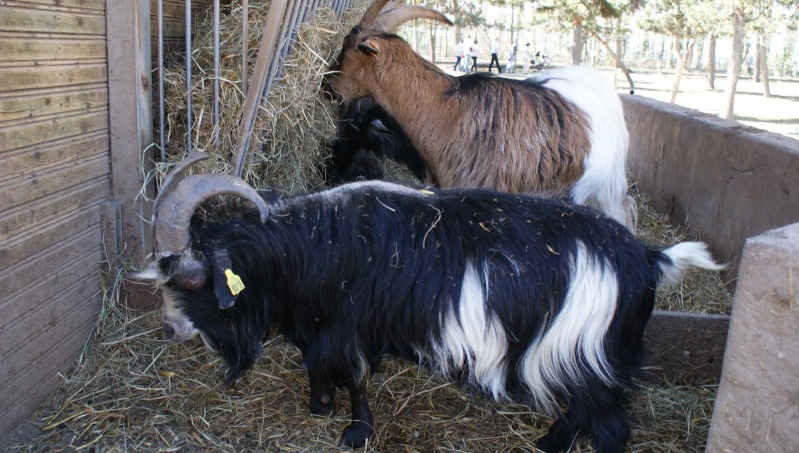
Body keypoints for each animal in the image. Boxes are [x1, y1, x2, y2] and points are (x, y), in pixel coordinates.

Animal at [138, 154, 724, 450]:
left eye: (190, 279)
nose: (169, 330)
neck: (314, 249)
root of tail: (648, 257)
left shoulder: (350, 328)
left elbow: (354, 377)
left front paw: (355, 431)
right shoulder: (321, 326)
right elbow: (317, 366)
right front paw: (319, 406)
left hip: (588, 350)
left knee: (609, 425)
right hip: (578, 355)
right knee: (584, 409)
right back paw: (550, 444)